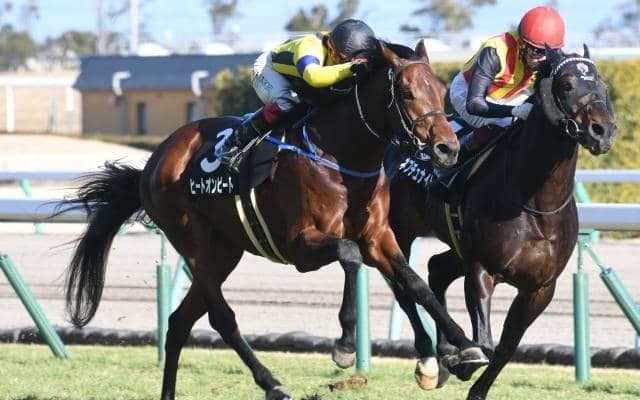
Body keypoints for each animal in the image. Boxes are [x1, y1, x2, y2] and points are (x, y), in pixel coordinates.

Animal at [58, 40, 490, 400]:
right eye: (406, 93)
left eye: (440, 89)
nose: (448, 149)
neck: (342, 157)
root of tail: (154, 161)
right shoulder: (302, 245)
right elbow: (350, 256)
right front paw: (344, 346)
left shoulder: (378, 236)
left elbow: (414, 283)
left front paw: (459, 349)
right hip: (193, 242)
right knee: (221, 317)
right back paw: (272, 384)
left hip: (223, 251)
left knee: (180, 321)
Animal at [385, 45, 616, 400]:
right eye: (566, 84)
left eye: (601, 83)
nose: (602, 130)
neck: (537, 204)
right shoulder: (482, 269)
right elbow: (487, 343)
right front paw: (463, 360)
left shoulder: (540, 288)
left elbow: (506, 349)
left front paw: (468, 376)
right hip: (400, 232)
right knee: (404, 286)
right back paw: (430, 363)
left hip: (460, 246)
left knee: (437, 268)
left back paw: (444, 351)